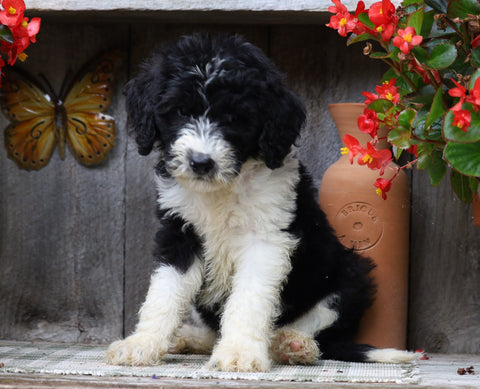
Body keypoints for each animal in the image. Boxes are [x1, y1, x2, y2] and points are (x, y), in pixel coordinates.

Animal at [106, 33, 416, 370]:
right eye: (181, 112)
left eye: (233, 118)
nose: (200, 162)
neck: (223, 187)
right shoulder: (179, 233)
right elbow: (165, 291)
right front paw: (142, 343)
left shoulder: (266, 239)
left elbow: (249, 298)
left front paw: (239, 352)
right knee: (211, 331)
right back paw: (188, 338)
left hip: (351, 275)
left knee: (317, 325)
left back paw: (292, 345)